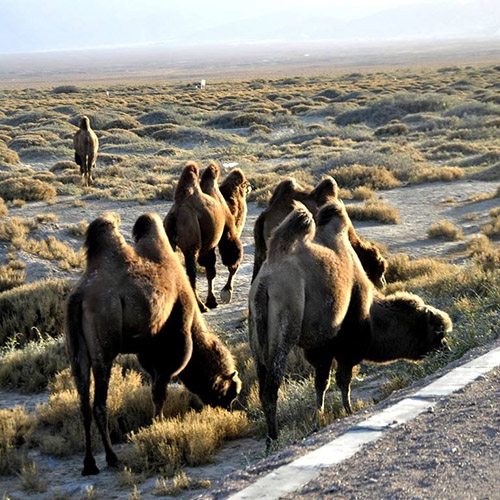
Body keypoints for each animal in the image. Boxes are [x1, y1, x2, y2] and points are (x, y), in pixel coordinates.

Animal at [65, 212, 242, 476]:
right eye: (230, 390)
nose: (228, 407)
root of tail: (79, 298)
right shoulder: (178, 333)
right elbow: (160, 390)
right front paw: (157, 425)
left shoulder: (148, 347)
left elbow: (154, 385)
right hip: (103, 346)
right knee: (99, 404)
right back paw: (111, 458)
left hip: (78, 354)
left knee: (84, 403)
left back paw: (89, 464)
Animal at [166, 162, 246, 310]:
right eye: (244, 183)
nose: (250, 186)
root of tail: (175, 214)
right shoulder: (227, 231)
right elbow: (230, 260)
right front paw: (226, 292)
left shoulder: (209, 245)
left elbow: (210, 270)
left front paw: (212, 299)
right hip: (191, 242)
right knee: (191, 273)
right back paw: (200, 306)